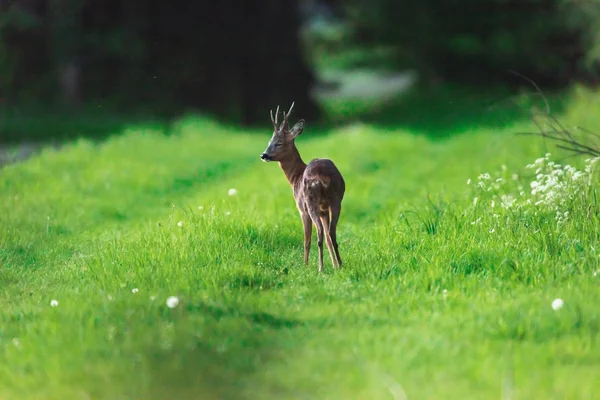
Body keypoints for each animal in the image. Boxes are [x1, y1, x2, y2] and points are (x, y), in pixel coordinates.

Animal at [258, 101, 346, 274]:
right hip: (335, 200)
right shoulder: (324, 210)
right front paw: (334, 265)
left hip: (310, 202)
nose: (264, 155)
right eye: (269, 142)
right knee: (331, 232)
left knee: (319, 234)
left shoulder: (301, 208)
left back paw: (320, 267)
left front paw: (305, 265)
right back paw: (340, 264)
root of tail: (322, 176)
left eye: (279, 143)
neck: (295, 177)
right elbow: (327, 237)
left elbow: (306, 240)